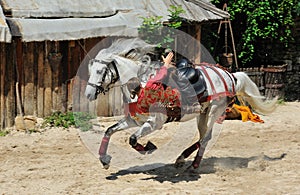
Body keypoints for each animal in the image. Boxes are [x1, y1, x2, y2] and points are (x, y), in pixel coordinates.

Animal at [84, 37, 276, 170]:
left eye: (100, 71)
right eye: (90, 71)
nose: (88, 94)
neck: (143, 84)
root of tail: (231, 76)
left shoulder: (155, 123)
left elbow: (132, 139)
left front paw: (149, 148)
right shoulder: (134, 120)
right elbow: (110, 131)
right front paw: (104, 160)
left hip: (214, 111)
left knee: (206, 138)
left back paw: (190, 162)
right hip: (203, 114)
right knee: (204, 137)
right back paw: (185, 160)